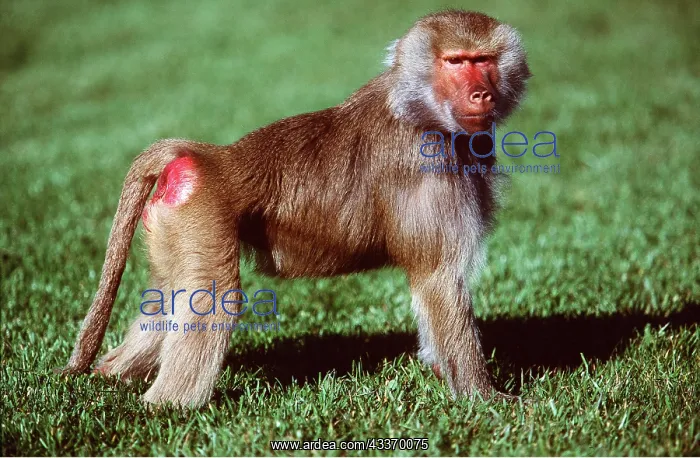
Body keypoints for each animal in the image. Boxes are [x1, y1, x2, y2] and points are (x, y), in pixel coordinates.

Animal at [63, 10, 531, 407]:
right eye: (456, 62)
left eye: (484, 60)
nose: (481, 94)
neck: (417, 108)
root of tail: (209, 157)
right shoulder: (429, 167)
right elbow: (439, 280)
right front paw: (485, 399)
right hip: (203, 217)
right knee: (212, 297)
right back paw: (167, 408)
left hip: (172, 229)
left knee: (169, 294)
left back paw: (112, 374)